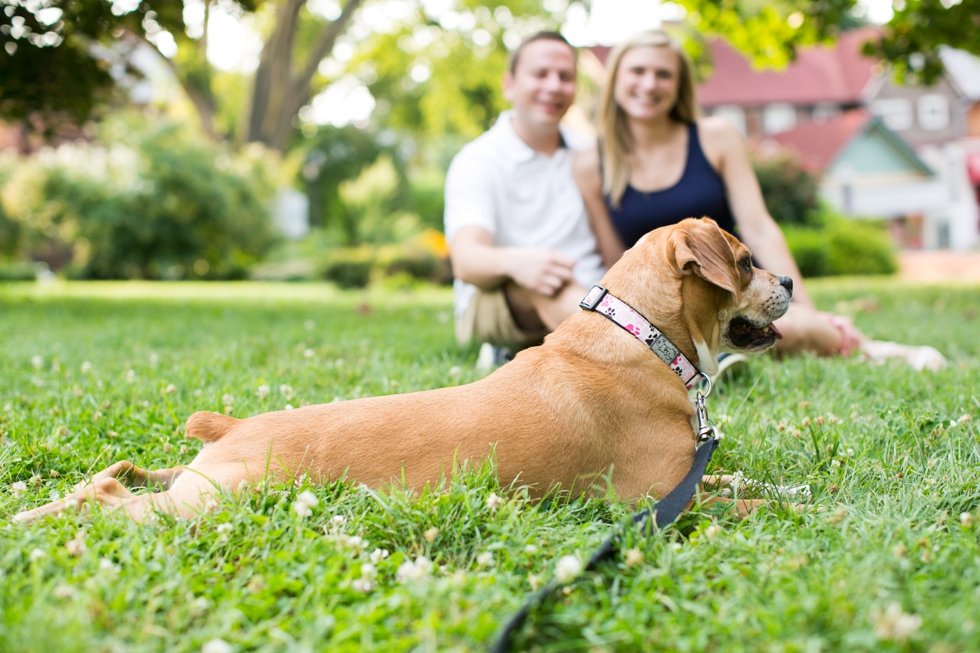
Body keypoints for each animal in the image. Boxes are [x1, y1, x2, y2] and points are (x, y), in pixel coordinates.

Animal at [15, 219, 792, 524]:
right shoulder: (659, 502)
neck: (640, 337)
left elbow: (740, 480)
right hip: (220, 501)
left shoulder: (692, 479)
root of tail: (233, 426)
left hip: (198, 484)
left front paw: (787, 484)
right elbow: (739, 501)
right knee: (109, 497)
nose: (788, 276)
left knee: (123, 475)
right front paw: (804, 507)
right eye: (746, 260)